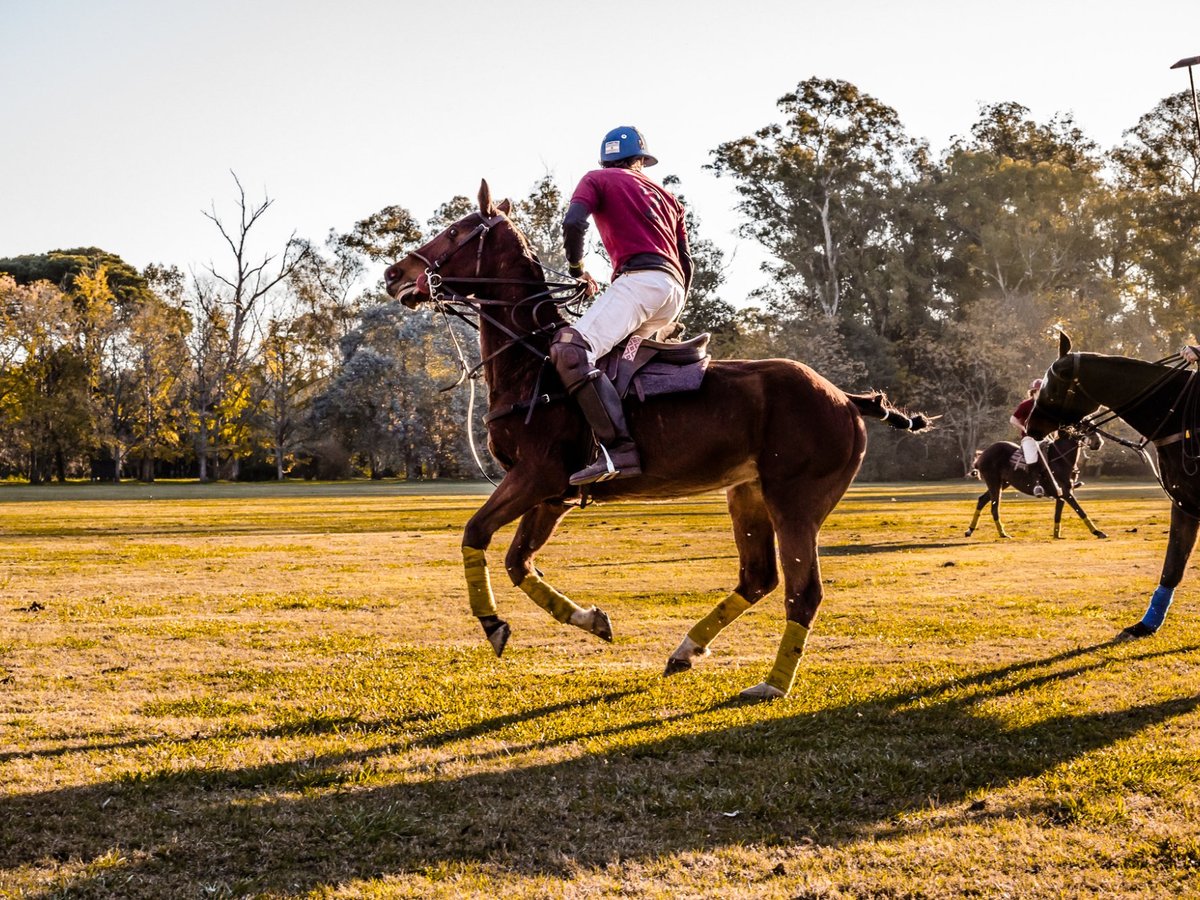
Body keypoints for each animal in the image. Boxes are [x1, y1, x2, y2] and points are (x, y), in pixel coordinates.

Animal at [381, 181, 926, 705]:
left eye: (456, 231)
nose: (393, 273)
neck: (531, 365)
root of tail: (846, 398)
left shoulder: (537, 475)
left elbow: (475, 532)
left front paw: (493, 624)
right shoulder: (555, 495)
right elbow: (519, 562)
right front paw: (592, 620)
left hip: (795, 499)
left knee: (803, 591)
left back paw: (770, 685)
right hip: (746, 492)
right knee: (758, 577)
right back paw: (686, 651)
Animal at [964, 427, 1104, 540]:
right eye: (1085, 426)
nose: (1098, 442)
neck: (1061, 459)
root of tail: (982, 455)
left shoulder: (1062, 495)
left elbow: (1057, 515)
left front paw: (1056, 535)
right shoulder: (1066, 493)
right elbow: (1080, 510)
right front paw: (1098, 532)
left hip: (1003, 483)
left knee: (982, 500)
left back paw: (970, 530)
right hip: (993, 481)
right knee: (994, 507)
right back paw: (1003, 533)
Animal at [1022, 333, 1200, 643]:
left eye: (1051, 386)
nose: (1032, 426)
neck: (1179, 419)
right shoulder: (1184, 503)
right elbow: (1172, 567)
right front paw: (1144, 625)